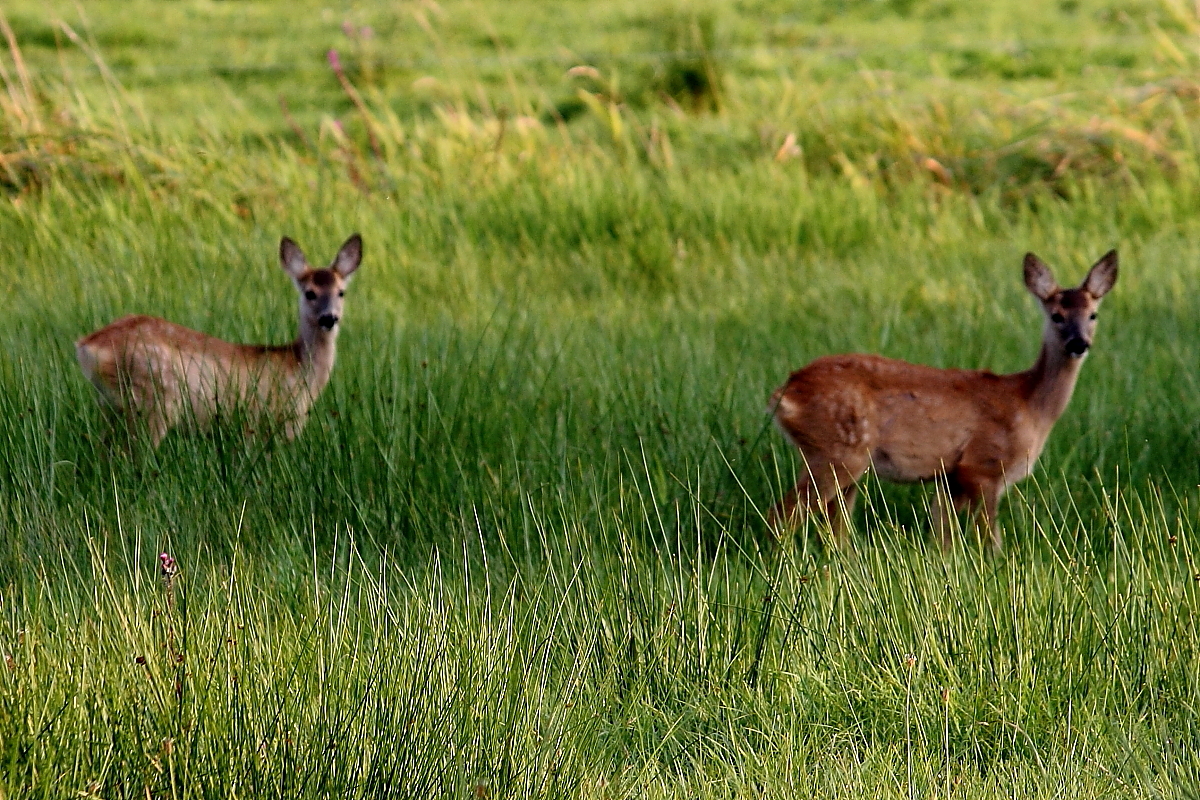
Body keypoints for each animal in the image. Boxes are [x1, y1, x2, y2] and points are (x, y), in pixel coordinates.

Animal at [75, 232, 362, 450]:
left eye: (341, 292)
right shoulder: (273, 421)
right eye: (310, 293)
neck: (300, 369)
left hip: (111, 405)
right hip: (153, 399)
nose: (329, 318)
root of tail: (88, 345)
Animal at [768, 250, 1113, 551]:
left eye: (1093, 314)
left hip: (845, 460)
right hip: (836, 451)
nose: (1078, 343)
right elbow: (989, 539)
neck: (1030, 405)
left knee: (834, 527)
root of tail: (786, 392)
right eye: (1056, 316)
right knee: (783, 514)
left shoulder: (950, 477)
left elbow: (941, 533)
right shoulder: (983, 465)